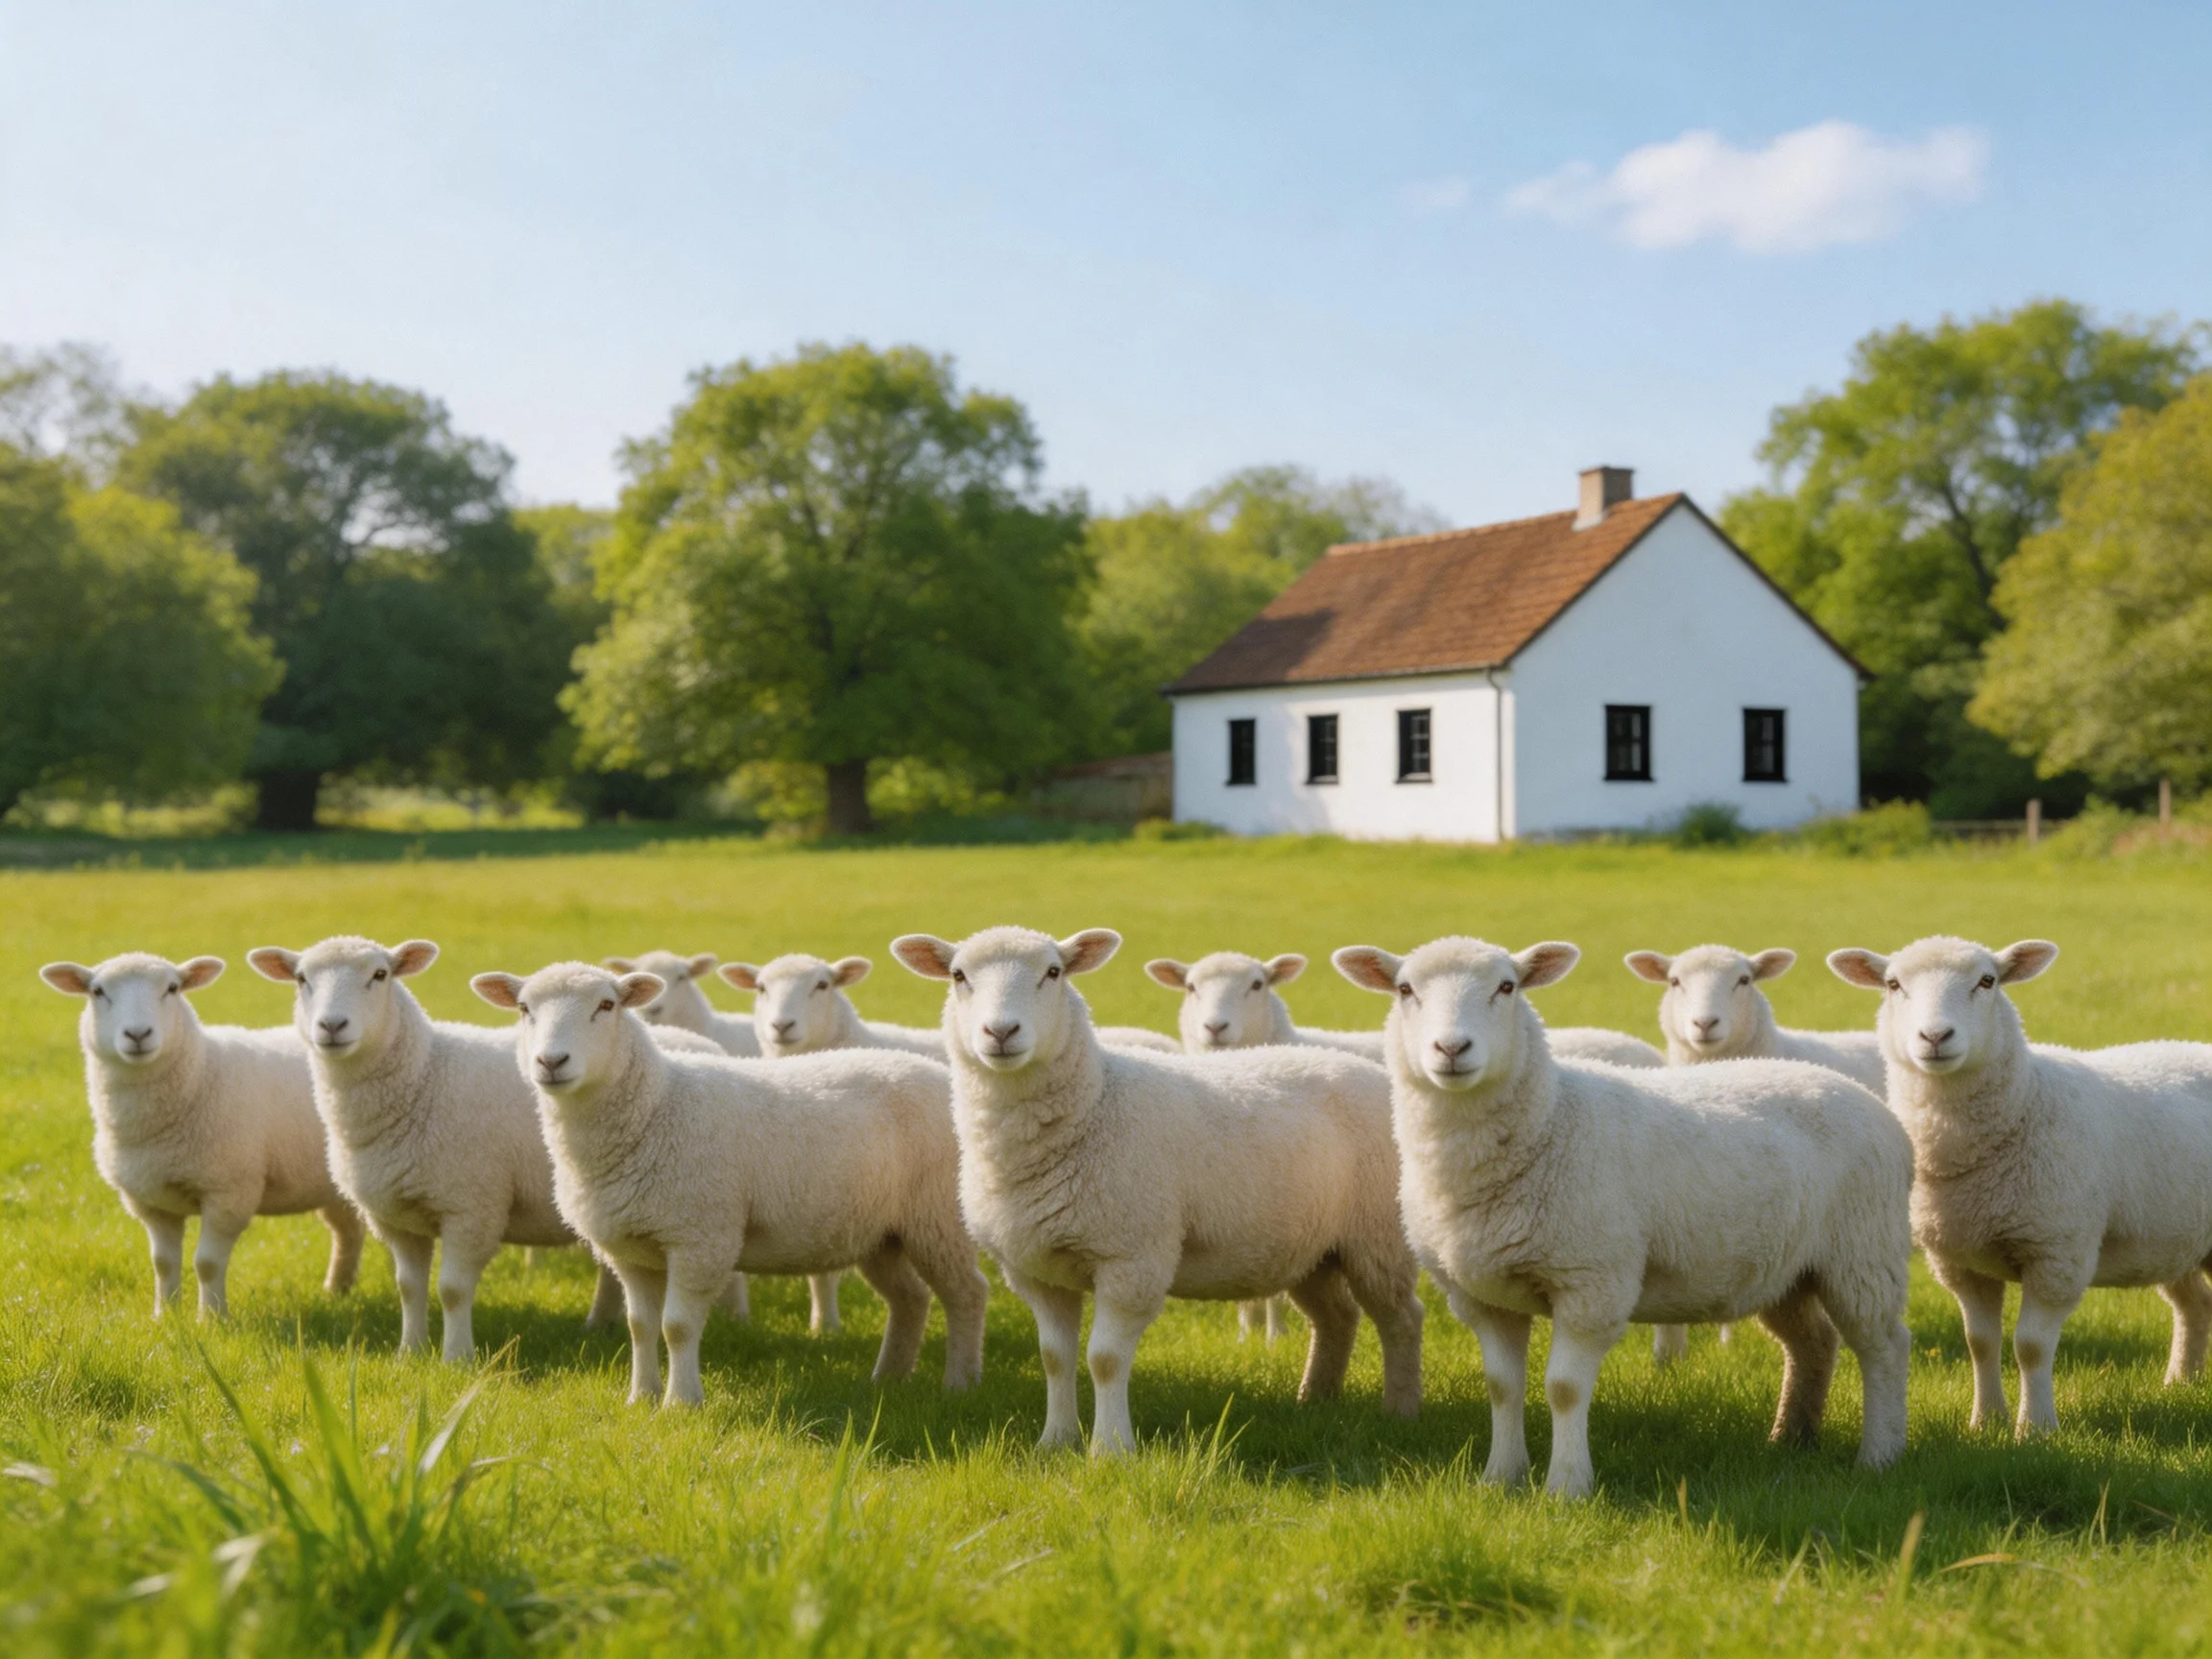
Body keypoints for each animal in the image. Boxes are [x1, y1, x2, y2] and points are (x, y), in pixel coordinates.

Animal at [40, 953, 363, 1320]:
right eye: (97, 991)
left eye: (172, 988)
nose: (138, 1034)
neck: (201, 1073)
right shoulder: (152, 1200)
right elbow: (163, 1263)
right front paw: (164, 1316)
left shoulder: (229, 1192)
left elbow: (207, 1263)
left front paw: (211, 1319)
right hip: (332, 1187)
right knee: (348, 1232)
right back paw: (337, 1291)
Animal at [247, 935, 652, 1359]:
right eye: (301, 979)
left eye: (380, 974)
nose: (331, 1025)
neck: (423, 1079)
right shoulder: (396, 1216)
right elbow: (409, 1288)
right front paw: (410, 1352)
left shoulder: (471, 1207)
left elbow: (453, 1290)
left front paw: (457, 1358)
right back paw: (599, 1325)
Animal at [892, 925, 1423, 1456]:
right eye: (959, 975)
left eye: (1054, 972)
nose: (1001, 1033)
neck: (1094, 1103)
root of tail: (1363, 1068)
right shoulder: (1036, 1268)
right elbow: (1054, 1357)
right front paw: (1055, 1442)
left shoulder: (1132, 1258)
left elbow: (1104, 1358)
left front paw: (1110, 1450)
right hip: (1311, 1246)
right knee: (1337, 1316)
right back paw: (1316, 1398)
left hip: (1378, 1238)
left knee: (1401, 1318)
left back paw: (1401, 1408)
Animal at [1830, 935, 2212, 1437]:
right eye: (1893, 984)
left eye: (1987, 981)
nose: (1935, 1037)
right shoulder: (1959, 1260)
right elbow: (1980, 1342)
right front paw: (1986, 1421)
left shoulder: (2056, 1253)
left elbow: (2030, 1346)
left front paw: (2036, 1428)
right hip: (2174, 1239)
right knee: (2195, 1304)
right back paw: (2181, 1383)